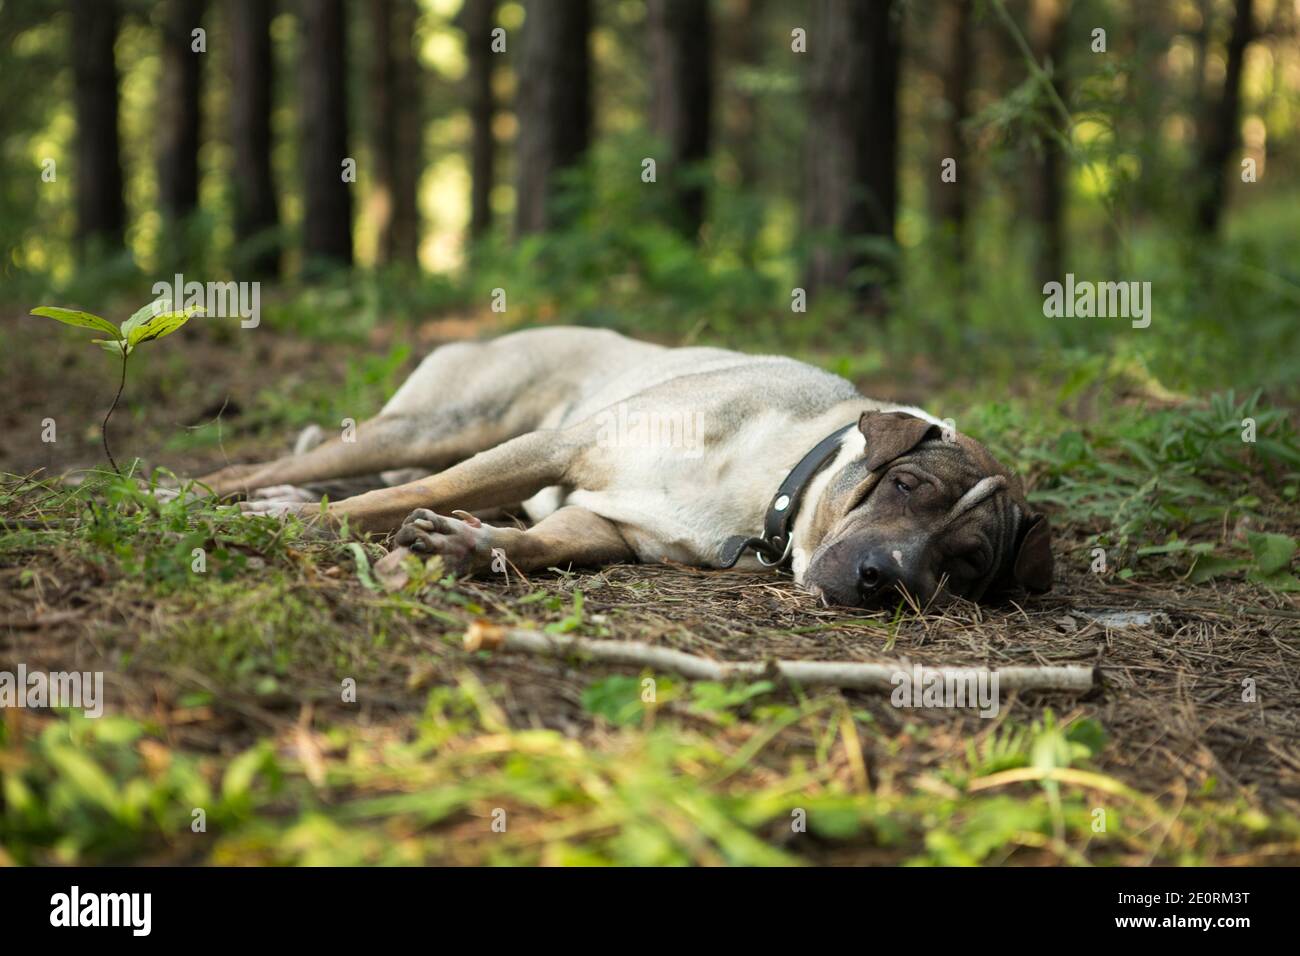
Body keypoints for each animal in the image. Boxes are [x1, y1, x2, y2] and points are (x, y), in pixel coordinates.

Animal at [192, 329, 1050, 608]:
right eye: (903, 485)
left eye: (965, 563)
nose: (886, 580)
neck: (772, 489)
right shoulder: (558, 449)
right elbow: (414, 496)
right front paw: (296, 527)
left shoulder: (611, 524)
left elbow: (534, 543)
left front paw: (462, 549)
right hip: (439, 425)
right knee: (348, 468)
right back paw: (202, 494)